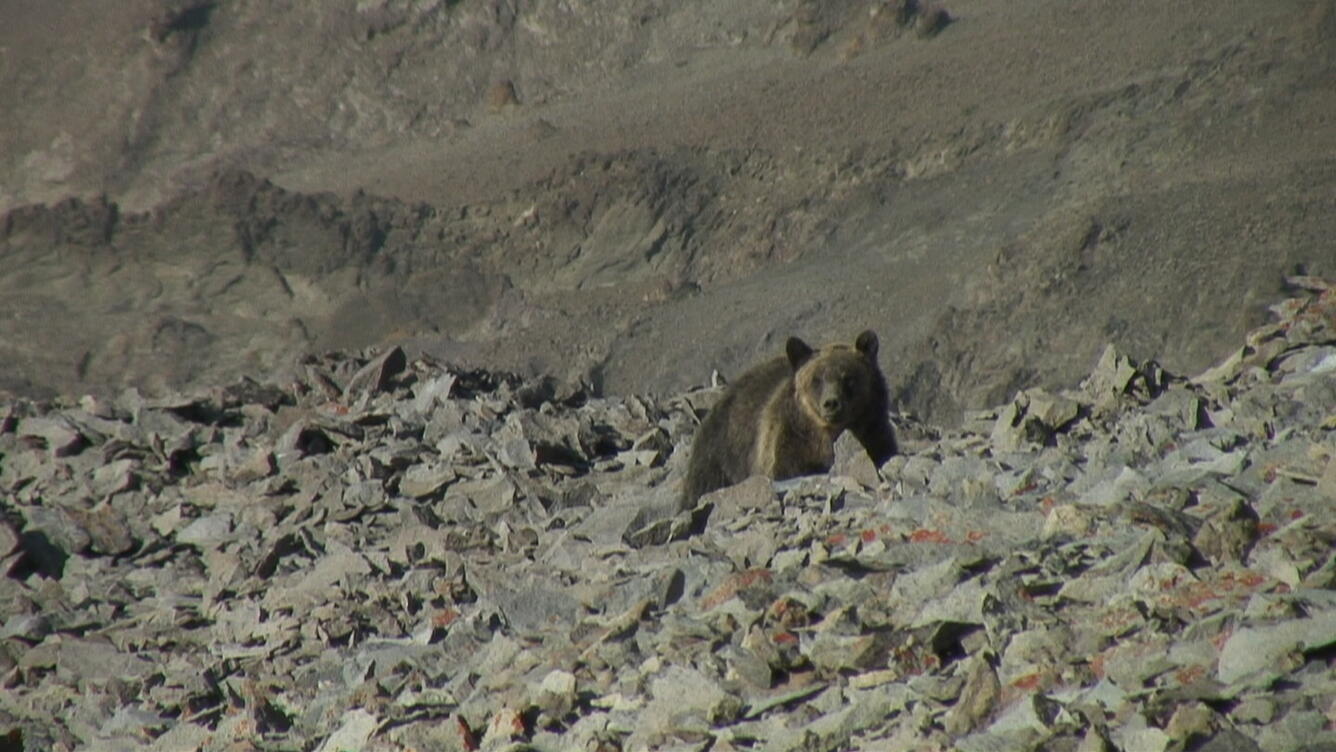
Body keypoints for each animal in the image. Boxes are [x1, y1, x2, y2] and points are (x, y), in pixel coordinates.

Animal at [678, 329, 897, 504]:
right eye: (816, 379)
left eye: (848, 377)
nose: (831, 403)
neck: (826, 436)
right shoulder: (791, 444)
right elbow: (787, 470)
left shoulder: (874, 432)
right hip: (720, 455)